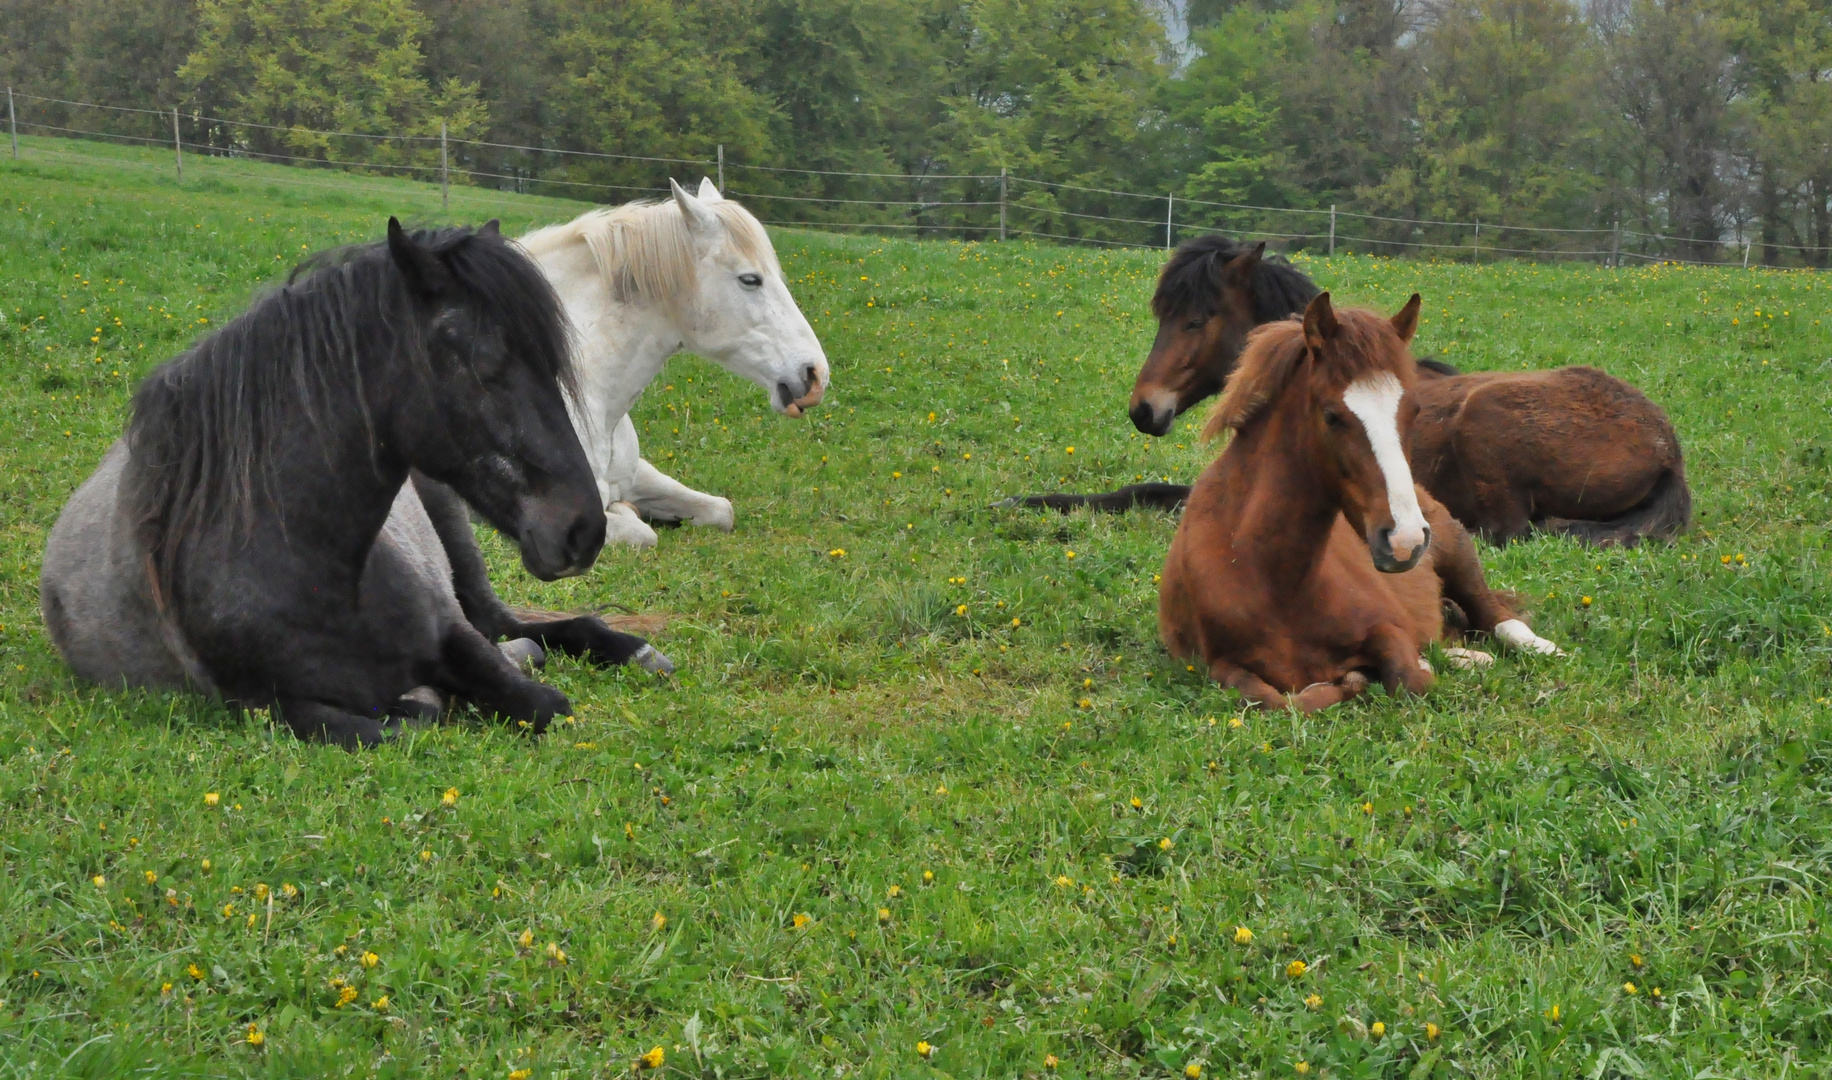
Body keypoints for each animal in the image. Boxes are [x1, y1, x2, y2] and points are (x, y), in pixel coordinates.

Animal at [43, 216, 666, 750]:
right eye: (485, 363)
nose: (583, 529)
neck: (318, 575)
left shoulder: (451, 632)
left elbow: (542, 704)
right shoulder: (265, 705)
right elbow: (399, 723)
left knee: (508, 623)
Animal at [516, 181, 831, 549]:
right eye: (750, 279)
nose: (816, 375)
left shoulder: (638, 472)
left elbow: (721, 510)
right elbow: (641, 533)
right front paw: (626, 510)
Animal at [1157, 292, 1560, 713]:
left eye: (1414, 411)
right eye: (1332, 416)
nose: (1405, 541)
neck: (1269, 578)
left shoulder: (1387, 627)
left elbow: (1410, 679)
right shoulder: (1221, 666)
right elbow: (1277, 699)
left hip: (1458, 551)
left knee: (1494, 615)